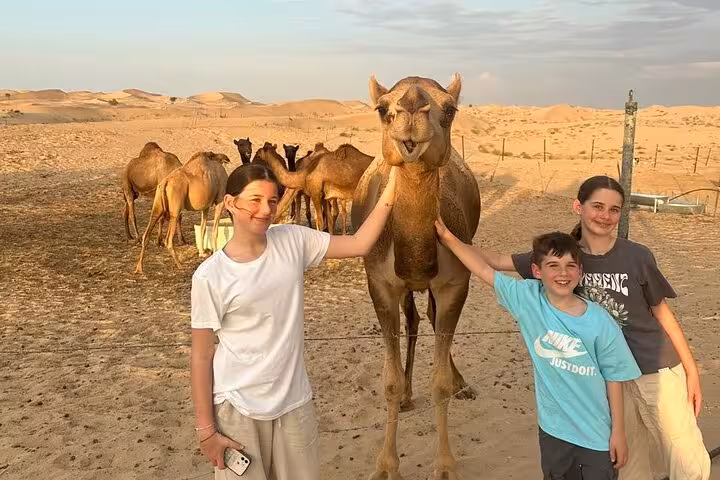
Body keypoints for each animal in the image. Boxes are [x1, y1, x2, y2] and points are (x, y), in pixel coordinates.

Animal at [351, 75, 481, 480]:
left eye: (450, 109)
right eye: (382, 109)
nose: (410, 110)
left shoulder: (455, 284)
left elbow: (438, 382)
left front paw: (445, 465)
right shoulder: (380, 285)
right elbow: (389, 382)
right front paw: (386, 465)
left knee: (431, 318)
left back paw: (462, 383)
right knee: (413, 320)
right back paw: (409, 395)